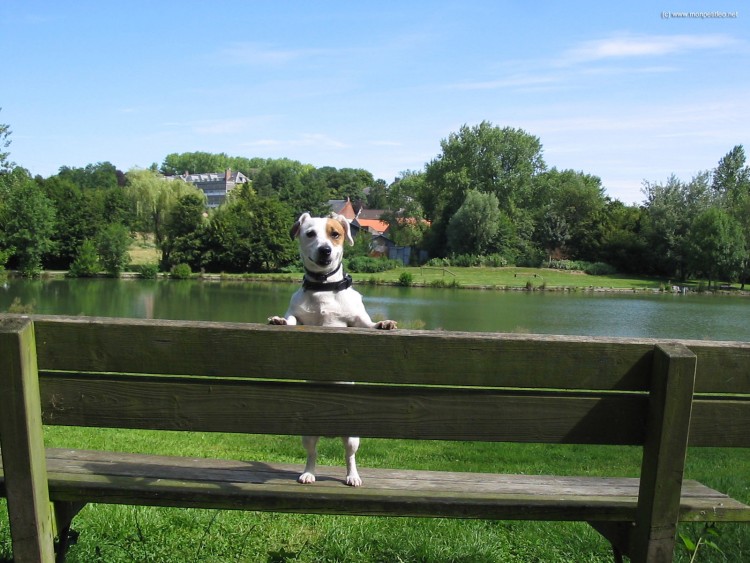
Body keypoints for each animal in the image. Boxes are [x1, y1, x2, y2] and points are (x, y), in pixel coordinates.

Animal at [270, 214, 400, 486]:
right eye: (310, 233)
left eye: (335, 234)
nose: (325, 249)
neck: (324, 289)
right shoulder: (298, 316)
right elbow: (291, 320)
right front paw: (279, 321)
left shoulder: (357, 321)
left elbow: (368, 324)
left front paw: (383, 324)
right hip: (308, 434)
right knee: (313, 454)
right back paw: (308, 473)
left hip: (352, 437)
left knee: (349, 456)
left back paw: (353, 477)